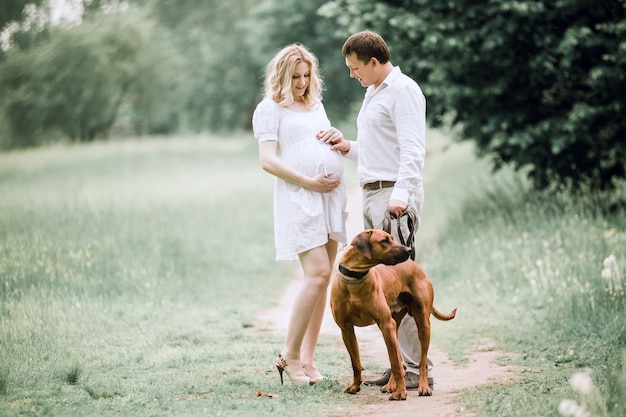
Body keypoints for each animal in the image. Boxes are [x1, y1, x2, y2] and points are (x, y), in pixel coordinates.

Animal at [330, 229, 456, 398]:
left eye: (391, 238)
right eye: (384, 240)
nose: (408, 250)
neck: (355, 277)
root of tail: (416, 265)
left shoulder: (385, 324)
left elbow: (396, 365)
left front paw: (401, 393)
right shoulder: (346, 330)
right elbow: (356, 363)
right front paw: (355, 386)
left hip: (421, 324)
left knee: (421, 361)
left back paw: (423, 387)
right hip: (393, 327)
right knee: (397, 357)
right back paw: (390, 385)